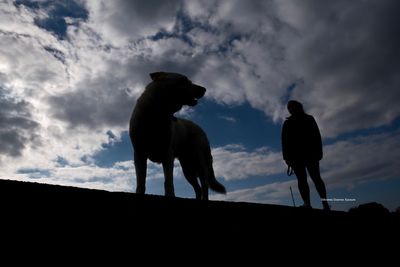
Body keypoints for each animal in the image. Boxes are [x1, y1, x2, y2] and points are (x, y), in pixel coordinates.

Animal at [130, 72, 227, 200]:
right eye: (183, 80)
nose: (204, 89)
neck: (156, 114)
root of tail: (201, 129)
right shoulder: (139, 154)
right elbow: (141, 181)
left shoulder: (167, 154)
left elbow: (168, 182)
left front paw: (170, 196)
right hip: (187, 169)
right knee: (198, 188)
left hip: (199, 163)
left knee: (204, 185)